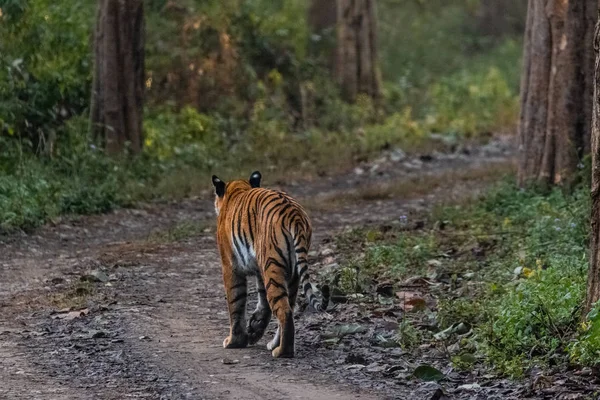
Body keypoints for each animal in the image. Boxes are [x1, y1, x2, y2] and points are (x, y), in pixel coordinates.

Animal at [212, 170, 332, 358]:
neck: (238, 189)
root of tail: (294, 214)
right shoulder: (260, 270)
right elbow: (263, 304)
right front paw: (254, 329)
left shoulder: (230, 267)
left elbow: (235, 304)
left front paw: (234, 341)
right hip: (290, 273)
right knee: (289, 307)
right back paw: (275, 344)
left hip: (272, 266)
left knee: (284, 311)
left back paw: (282, 351)